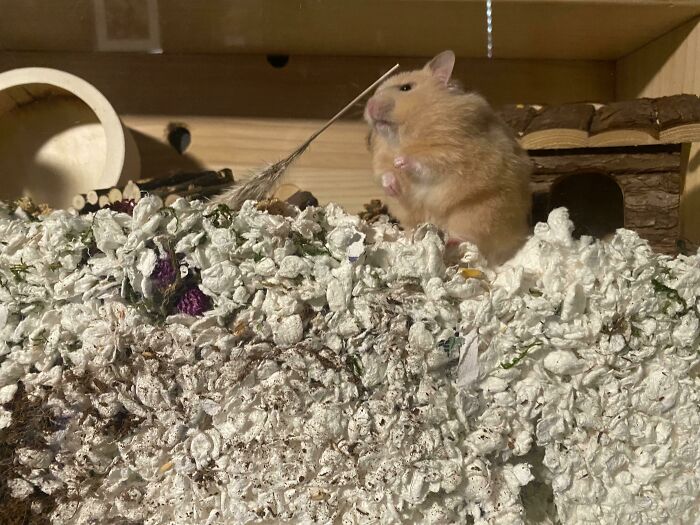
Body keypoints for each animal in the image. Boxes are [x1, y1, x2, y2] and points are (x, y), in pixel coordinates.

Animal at [364, 50, 532, 266]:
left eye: (405, 88)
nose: (369, 106)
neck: (403, 137)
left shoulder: (452, 152)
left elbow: (425, 162)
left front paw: (401, 161)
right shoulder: (381, 158)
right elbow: (385, 173)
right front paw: (392, 185)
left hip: (480, 212)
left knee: (471, 238)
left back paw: (452, 241)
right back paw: (411, 240)